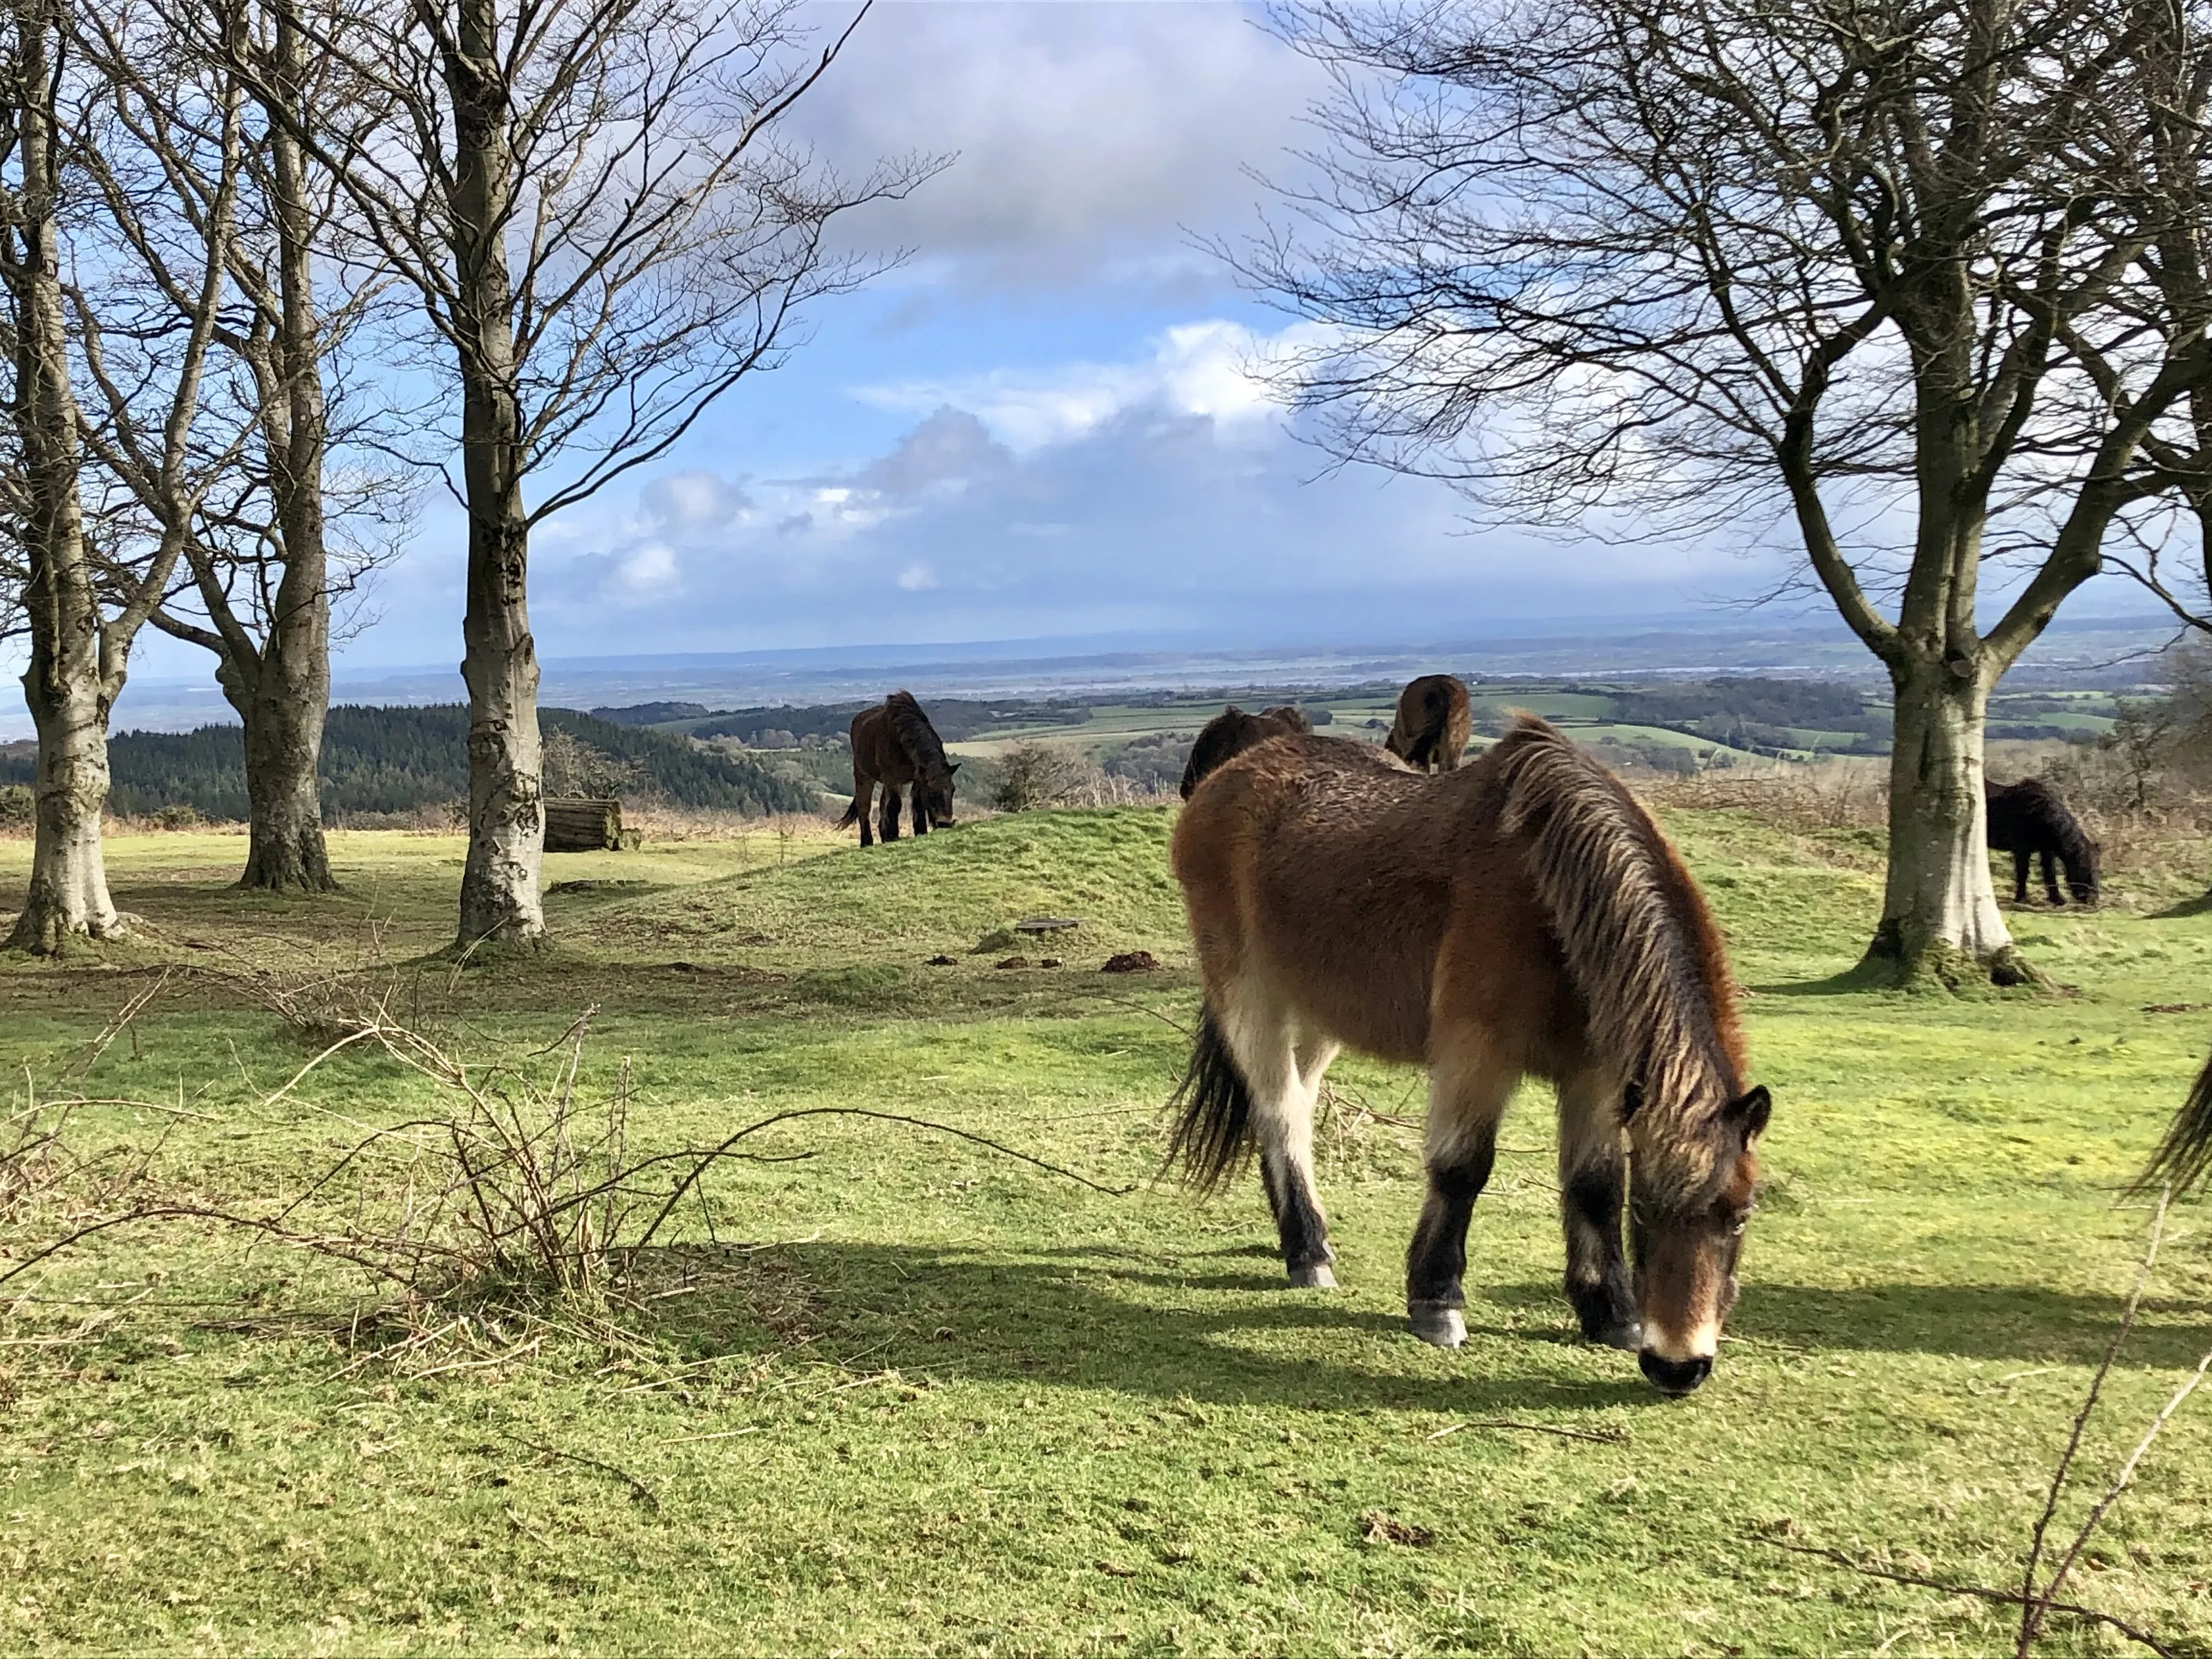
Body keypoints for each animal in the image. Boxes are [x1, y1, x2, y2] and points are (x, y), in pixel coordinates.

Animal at [839, 691, 958, 847]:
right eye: (933, 791)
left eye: (953, 790)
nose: (946, 823)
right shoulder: (893, 779)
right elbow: (895, 805)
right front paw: (894, 835)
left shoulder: (918, 778)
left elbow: (917, 802)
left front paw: (920, 831)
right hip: (864, 776)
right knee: (864, 806)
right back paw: (867, 842)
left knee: (883, 804)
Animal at [1167, 715, 1769, 1395]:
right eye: (1646, 1212)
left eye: (1741, 1214)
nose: (1679, 1366)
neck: (1549, 889)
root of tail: (1227, 779)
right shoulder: (1476, 1051)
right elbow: (1462, 1169)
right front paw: (1437, 1302)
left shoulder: (1596, 1075)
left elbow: (1594, 1184)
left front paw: (1610, 1312)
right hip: (1250, 996)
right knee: (1280, 1115)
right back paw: (1307, 1250)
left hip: (1319, 1017)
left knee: (1295, 1105)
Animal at [1985, 778, 2101, 906]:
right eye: (2084, 866)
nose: (2093, 899)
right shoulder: (2022, 850)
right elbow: (2023, 873)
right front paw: (2021, 898)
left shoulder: (2047, 851)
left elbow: (2050, 872)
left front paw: (2057, 899)